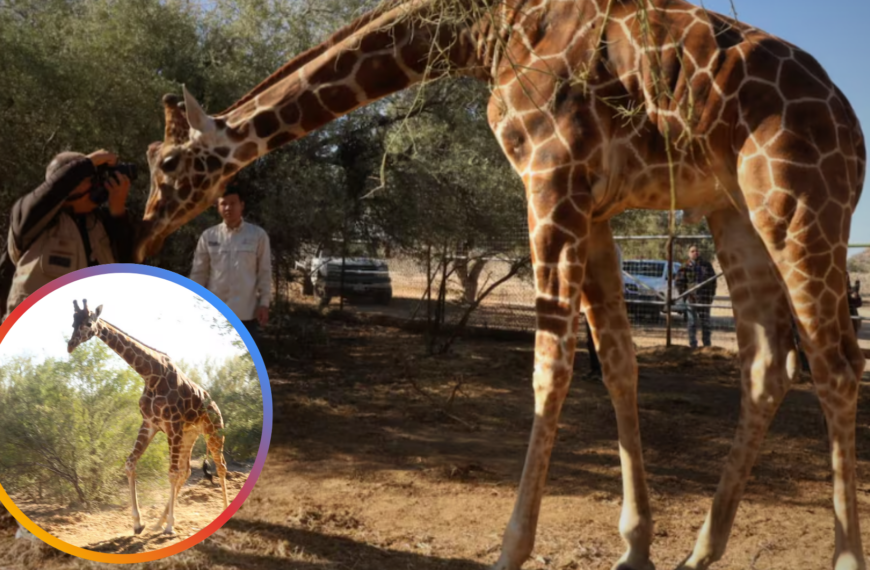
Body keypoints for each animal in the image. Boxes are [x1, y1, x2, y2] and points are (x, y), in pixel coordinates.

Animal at [67, 299, 229, 536]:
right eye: (72, 322)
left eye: (88, 322)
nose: (70, 345)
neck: (150, 374)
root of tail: (216, 408)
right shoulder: (150, 423)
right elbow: (130, 464)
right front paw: (138, 523)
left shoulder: (172, 425)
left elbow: (171, 473)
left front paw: (170, 527)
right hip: (190, 435)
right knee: (187, 471)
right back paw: (158, 523)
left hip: (213, 433)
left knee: (220, 466)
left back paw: (221, 514)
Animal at [133, 1, 866, 568]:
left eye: (168, 162)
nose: (143, 232)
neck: (483, 32)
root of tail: (851, 125)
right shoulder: (594, 205)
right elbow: (618, 363)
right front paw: (635, 546)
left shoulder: (550, 178)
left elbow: (550, 367)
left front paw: (512, 549)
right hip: (731, 208)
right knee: (770, 361)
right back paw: (702, 550)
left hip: (799, 203)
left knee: (836, 363)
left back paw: (843, 556)